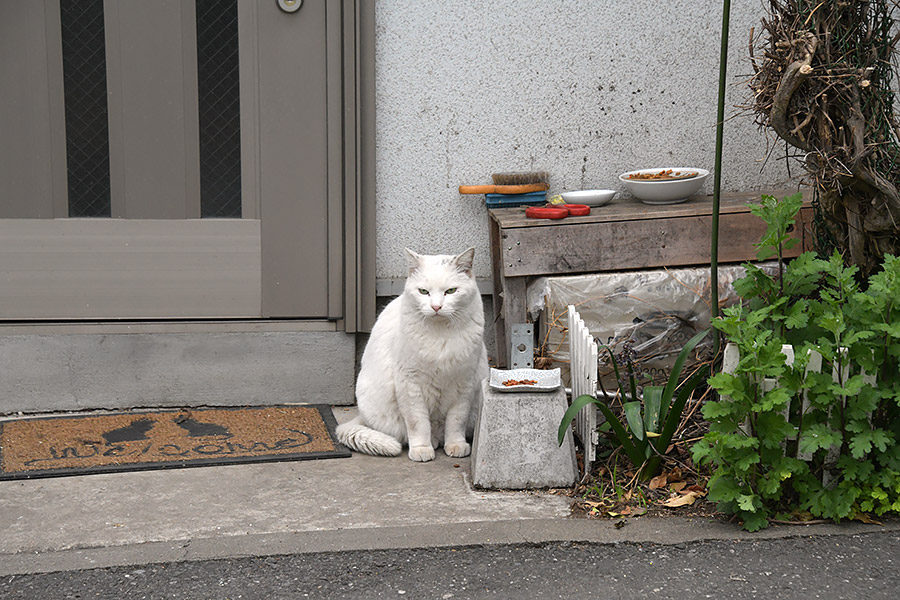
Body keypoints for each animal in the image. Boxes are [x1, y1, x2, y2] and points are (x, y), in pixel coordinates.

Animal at [336, 246, 488, 462]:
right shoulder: (410, 383)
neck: (440, 334)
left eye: (451, 291)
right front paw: (421, 449)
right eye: (423, 291)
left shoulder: (464, 383)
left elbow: (456, 420)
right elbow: (418, 422)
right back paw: (430, 443)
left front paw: (456, 445)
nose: (436, 307)